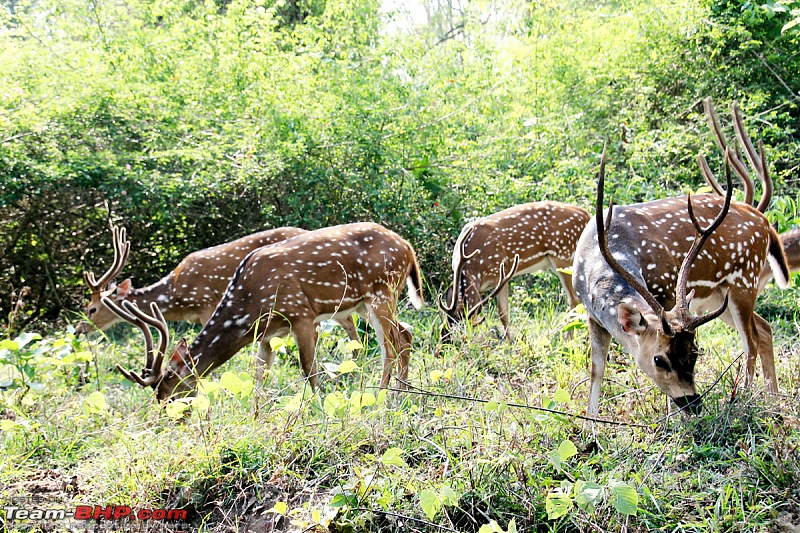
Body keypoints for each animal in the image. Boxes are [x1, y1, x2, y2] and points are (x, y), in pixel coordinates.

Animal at [438, 202, 588, 338]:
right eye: (442, 331)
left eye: (456, 334)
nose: (442, 348)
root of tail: (586, 215)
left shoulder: (501, 272)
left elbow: (503, 312)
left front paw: (510, 344)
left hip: (563, 255)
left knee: (574, 299)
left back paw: (568, 340)